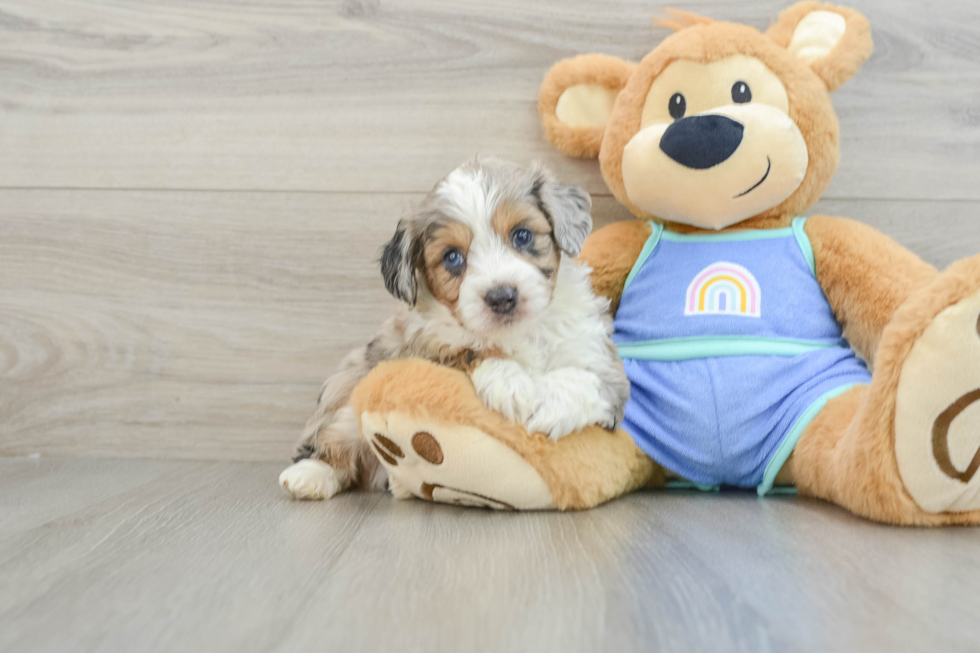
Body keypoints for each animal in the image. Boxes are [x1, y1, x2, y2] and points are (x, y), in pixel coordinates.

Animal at [278, 157, 628, 500]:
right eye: (452, 257)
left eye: (522, 235)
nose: (501, 297)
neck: (519, 332)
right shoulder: (419, 345)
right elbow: (467, 348)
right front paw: (511, 383)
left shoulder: (601, 359)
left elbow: (588, 379)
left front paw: (548, 405)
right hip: (350, 401)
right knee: (332, 441)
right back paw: (310, 475)